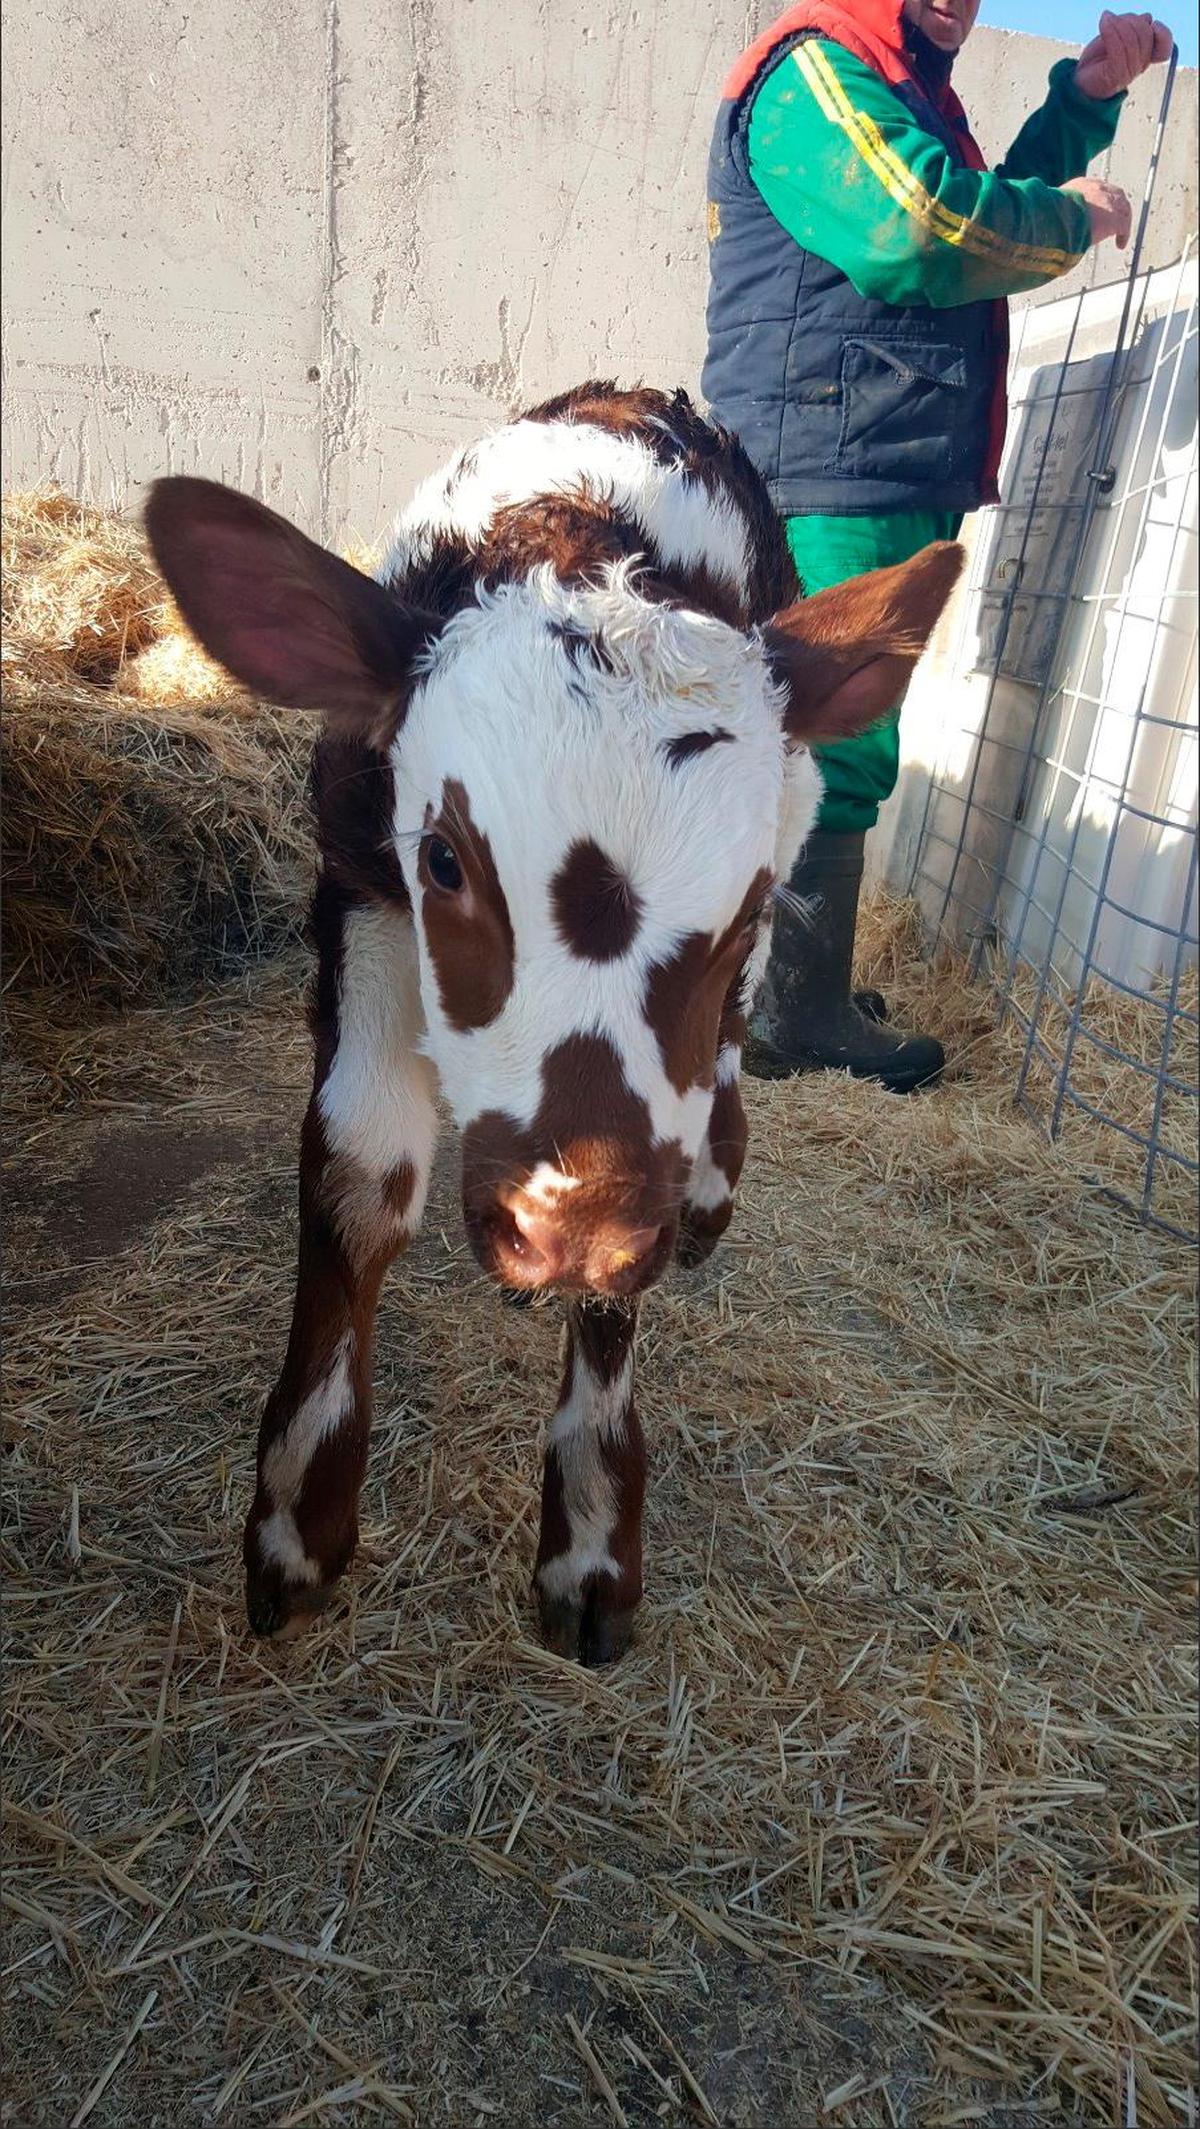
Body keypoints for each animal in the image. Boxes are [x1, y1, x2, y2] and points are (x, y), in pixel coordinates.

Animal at [145, 383, 961, 1660]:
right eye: (444, 859)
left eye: (746, 907)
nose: (567, 1225)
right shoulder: (359, 878)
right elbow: (360, 1169)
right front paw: (297, 1519)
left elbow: (646, 1219)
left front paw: (589, 1535)